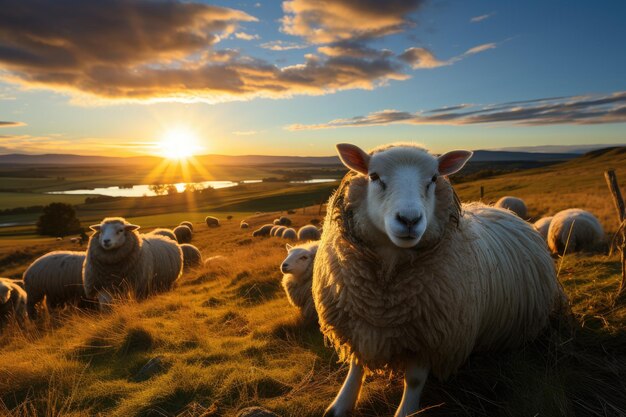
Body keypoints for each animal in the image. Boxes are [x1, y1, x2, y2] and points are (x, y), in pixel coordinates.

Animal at [314, 143, 564, 416]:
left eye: (433, 179)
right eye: (374, 176)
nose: (409, 220)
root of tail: (505, 211)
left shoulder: (433, 335)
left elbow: (413, 380)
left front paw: (405, 411)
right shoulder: (358, 326)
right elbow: (356, 366)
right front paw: (340, 404)